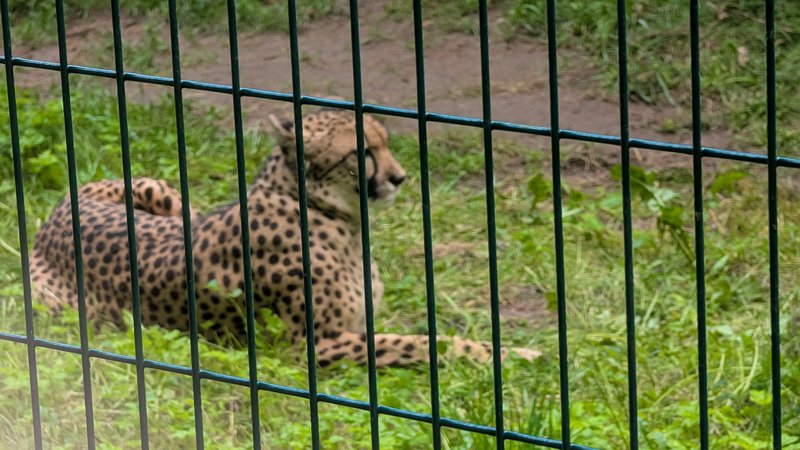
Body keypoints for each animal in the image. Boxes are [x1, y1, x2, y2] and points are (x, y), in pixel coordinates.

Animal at [30, 109, 541, 367]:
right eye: (361, 152)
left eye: (385, 141)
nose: (399, 178)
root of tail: (55, 210)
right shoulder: (309, 348)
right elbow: (418, 343)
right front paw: (519, 354)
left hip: (169, 197)